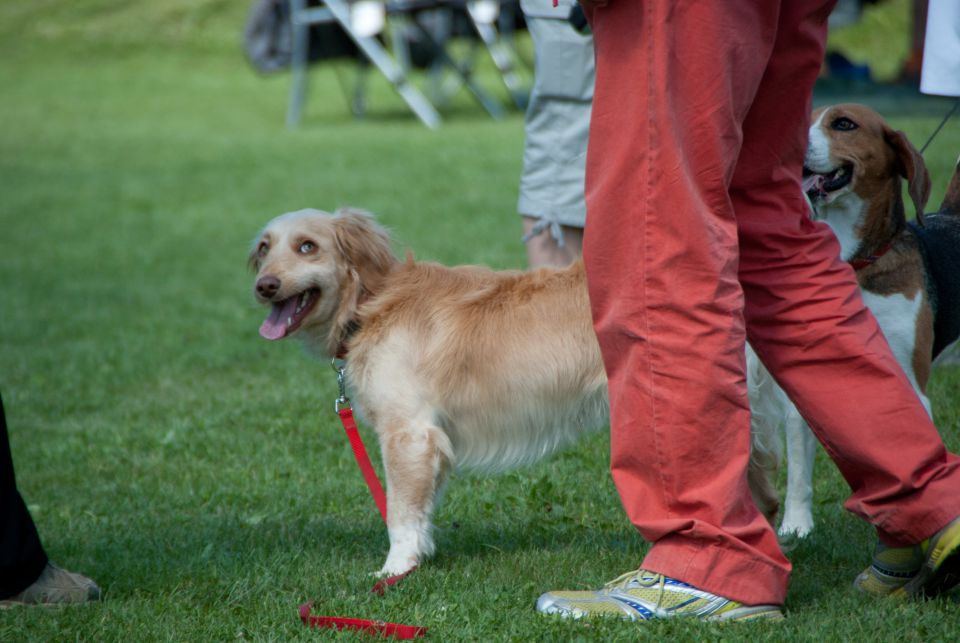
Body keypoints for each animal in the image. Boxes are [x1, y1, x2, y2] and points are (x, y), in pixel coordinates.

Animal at [249, 209, 780, 576]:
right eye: (263, 247)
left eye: (307, 247)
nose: (263, 285)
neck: (371, 304)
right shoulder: (431, 442)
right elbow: (421, 511)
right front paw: (419, 557)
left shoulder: (409, 435)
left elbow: (399, 511)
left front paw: (394, 571)